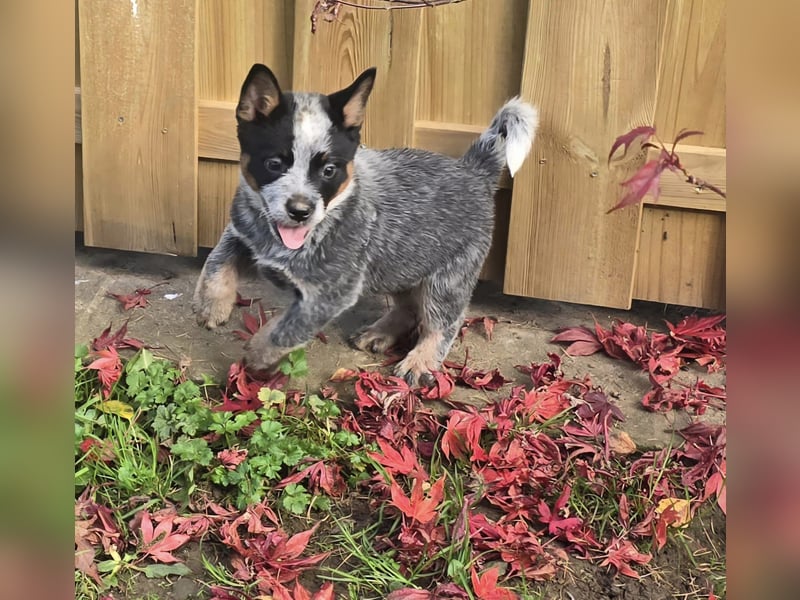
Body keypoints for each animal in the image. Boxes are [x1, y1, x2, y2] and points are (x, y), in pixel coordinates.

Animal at [195, 64, 540, 384]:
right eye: (274, 163)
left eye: (329, 170)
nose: (300, 211)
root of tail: (472, 171)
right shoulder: (242, 227)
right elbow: (217, 258)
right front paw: (211, 305)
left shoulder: (330, 294)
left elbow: (286, 329)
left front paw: (258, 353)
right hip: (401, 265)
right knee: (408, 308)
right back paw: (380, 332)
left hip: (448, 278)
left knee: (441, 323)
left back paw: (420, 362)